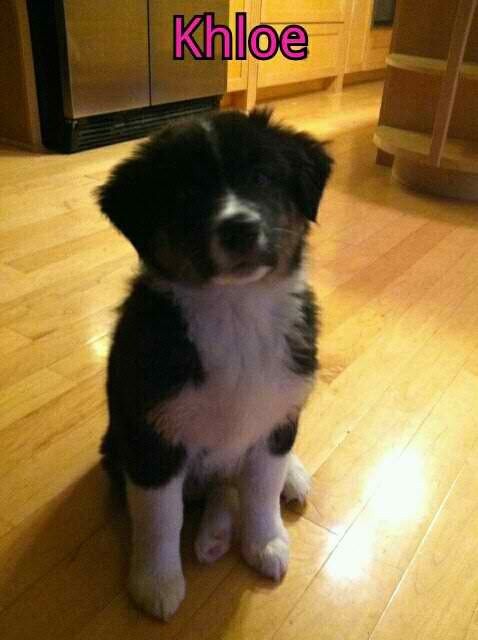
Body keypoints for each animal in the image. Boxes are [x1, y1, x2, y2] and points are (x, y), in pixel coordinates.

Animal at [98, 110, 332, 620]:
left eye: (262, 178)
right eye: (186, 194)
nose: (239, 228)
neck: (235, 308)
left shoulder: (275, 412)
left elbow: (262, 489)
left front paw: (266, 543)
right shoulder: (151, 437)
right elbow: (160, 516)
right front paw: (158, 583)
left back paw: (283, 484)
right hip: (116, 444)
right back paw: (212, 537)